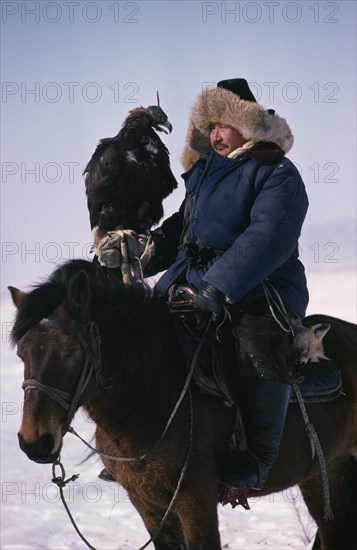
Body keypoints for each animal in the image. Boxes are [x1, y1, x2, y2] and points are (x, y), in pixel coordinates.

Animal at [8, 260, 356, 548]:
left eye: (70, 352)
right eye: (22, 353)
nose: (34, 443)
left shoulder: (195, 501)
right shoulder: (147, 505)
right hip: (321, 474)